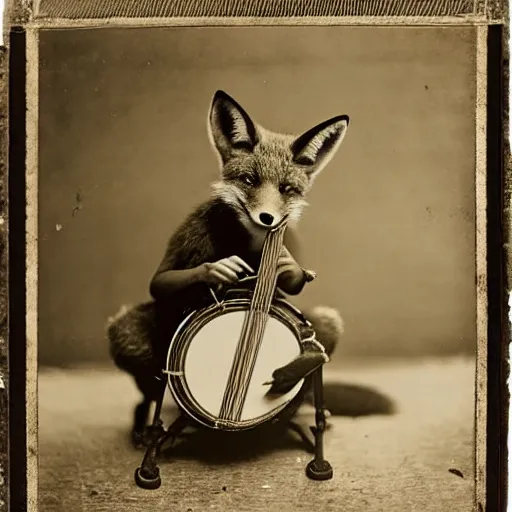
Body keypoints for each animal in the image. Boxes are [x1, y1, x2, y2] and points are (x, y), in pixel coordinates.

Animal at [107, 90, 348, 446]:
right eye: (250, 180)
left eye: (286, 189)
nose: (268, 218)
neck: (250, 238)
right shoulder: (192, 232)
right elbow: (161, 280)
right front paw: (217, 269)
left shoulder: (288, 243)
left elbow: (290, 279)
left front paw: (288, 266)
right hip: (128, 334)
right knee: (149, 394)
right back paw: (145, 428)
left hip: (328, 323)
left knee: (312, 369)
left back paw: (298, 400)